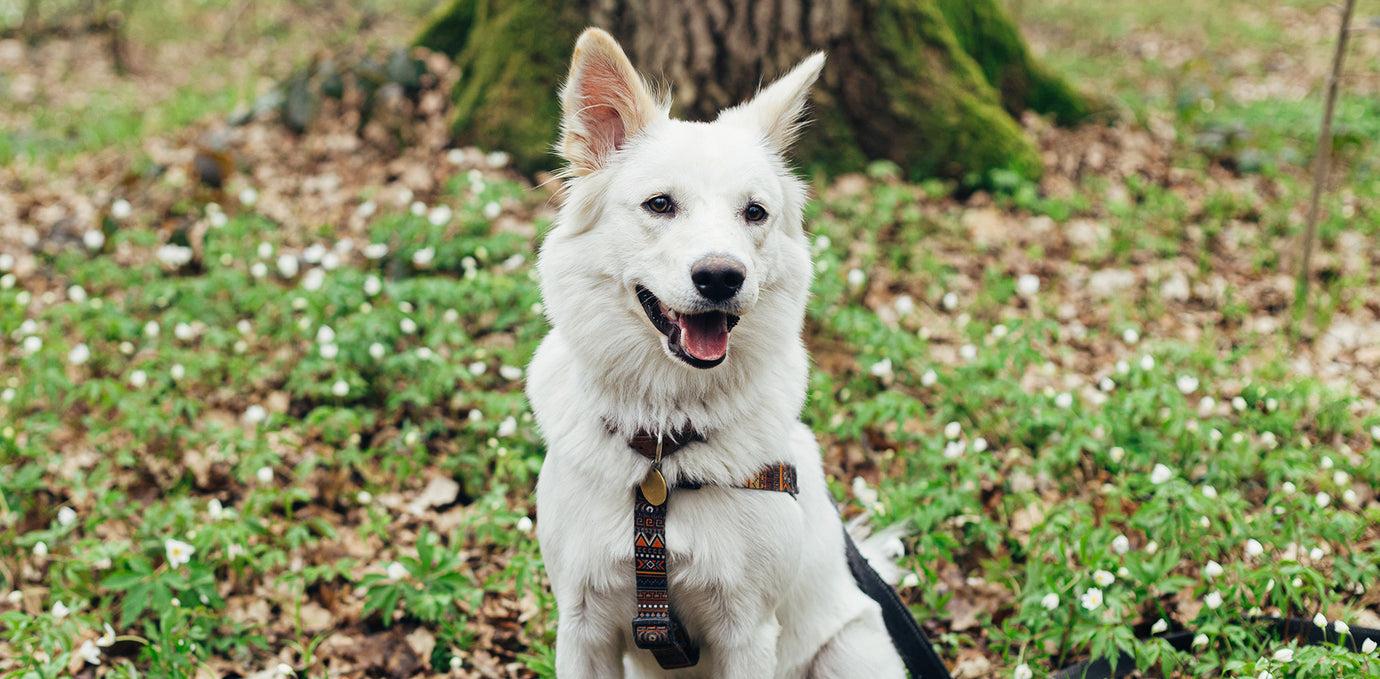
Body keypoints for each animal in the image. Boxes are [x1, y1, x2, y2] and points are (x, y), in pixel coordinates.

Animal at [527, 27, 905, 679]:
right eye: (660, 204)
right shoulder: (582, 625)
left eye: (754, 212)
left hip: (848, 650)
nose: (722, 277)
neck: (662, 449)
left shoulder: (746, 632)